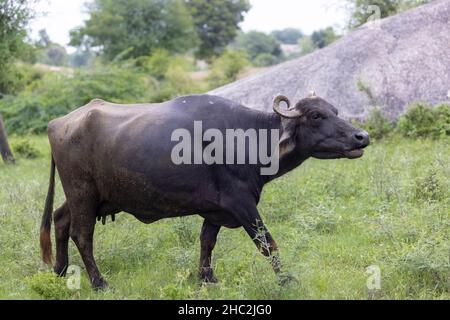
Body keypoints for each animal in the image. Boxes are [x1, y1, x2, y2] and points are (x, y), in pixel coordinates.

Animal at [39, 93, 370, 290]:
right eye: (315, 116)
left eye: (335, 111)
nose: (361, 136)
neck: (247, 137)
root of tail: (58, 123)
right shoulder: (242, 203)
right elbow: (267, 244)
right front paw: (287, 280)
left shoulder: (216, 209)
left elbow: (207, 241)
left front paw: (207, 278)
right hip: (83, 193)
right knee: (82, 235)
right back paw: (99, 282)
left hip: (91, 198)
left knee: (60, 219)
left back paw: (59, 270)